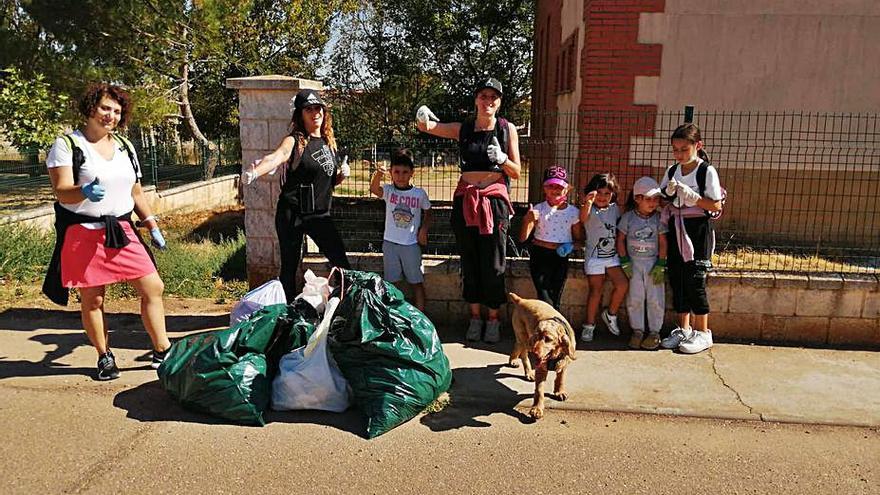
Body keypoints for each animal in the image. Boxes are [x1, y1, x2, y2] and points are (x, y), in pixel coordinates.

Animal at [508, 292, 576, 420]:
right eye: (536, 337)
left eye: (548, 339)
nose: (535, 353)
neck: (555, 355)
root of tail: (521, 300)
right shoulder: (541, 369)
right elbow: (539, 390)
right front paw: (536, 409)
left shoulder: (564, 363)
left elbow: (560, 378)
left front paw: (559, 391)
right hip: (524, 339)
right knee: (523, 353)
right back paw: (528, 372)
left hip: (524, 340)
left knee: (516, 346)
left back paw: (513, 360)